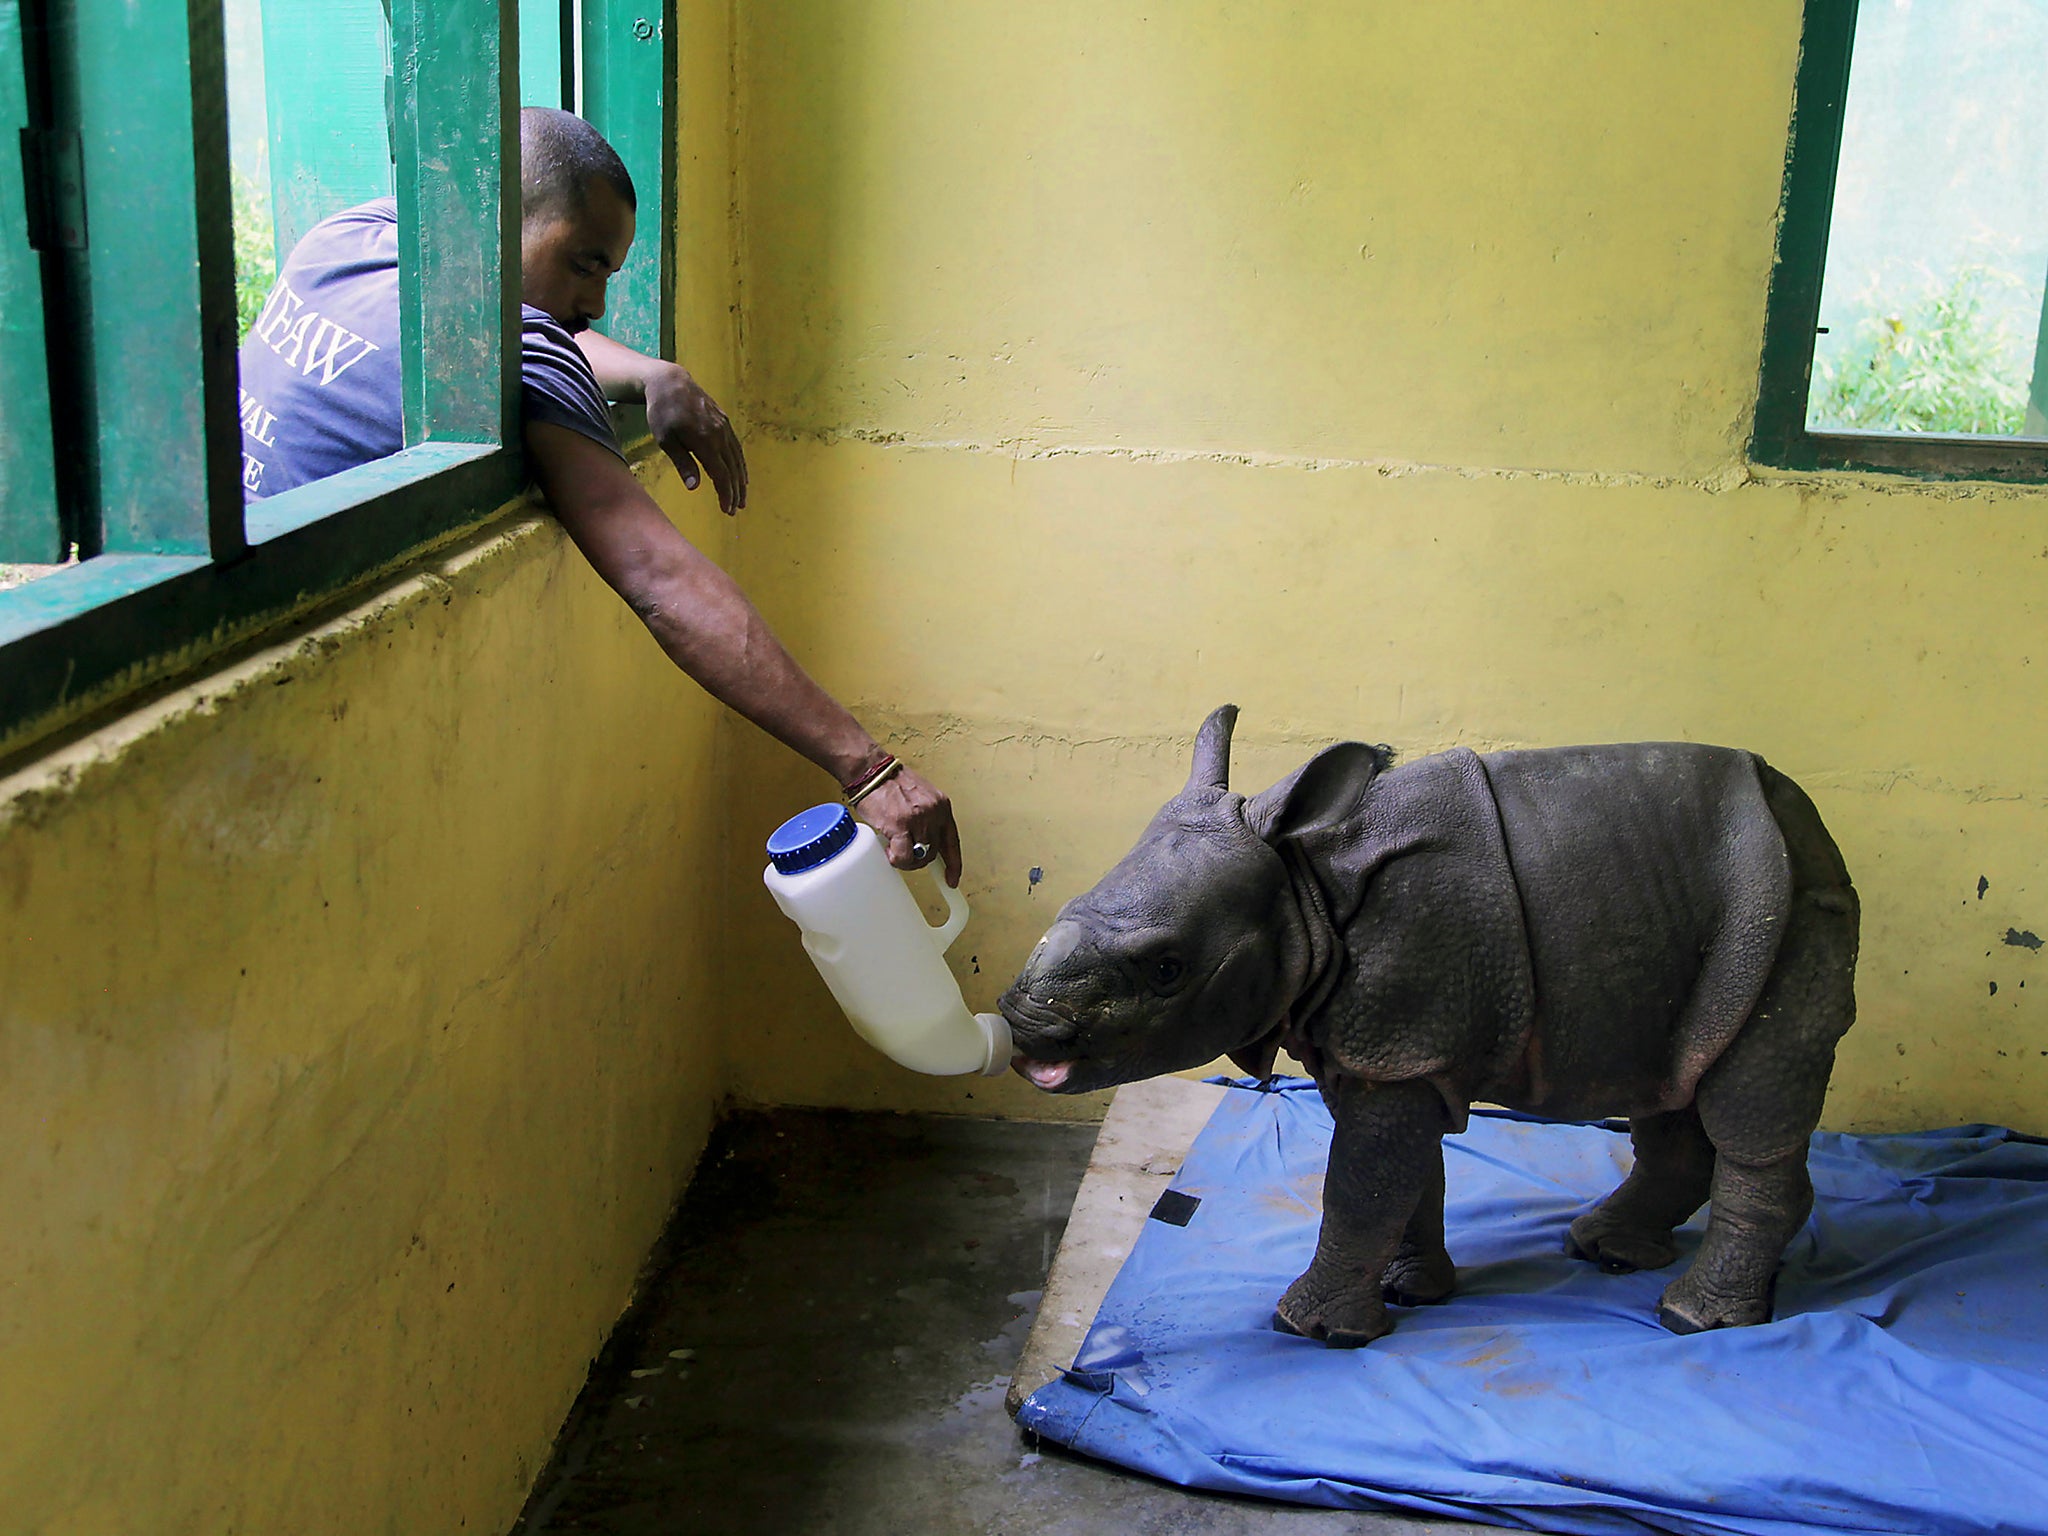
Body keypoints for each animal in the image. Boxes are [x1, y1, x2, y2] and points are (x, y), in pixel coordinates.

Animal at [999, 707, 1859, 1345]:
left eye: (1168, 968)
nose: (1025, 1030)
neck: (1304, 885)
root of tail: (1809, 820)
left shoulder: (1403, 1038)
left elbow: (1361, 1182)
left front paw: (1312, 1329)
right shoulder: (1390, 1049)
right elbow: (1402, 1177)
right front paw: (1406, 1294)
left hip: (1783, 913)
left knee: (1747, 1101)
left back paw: (1690, 1318)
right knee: (1675, 1075)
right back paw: (1606, 1251)